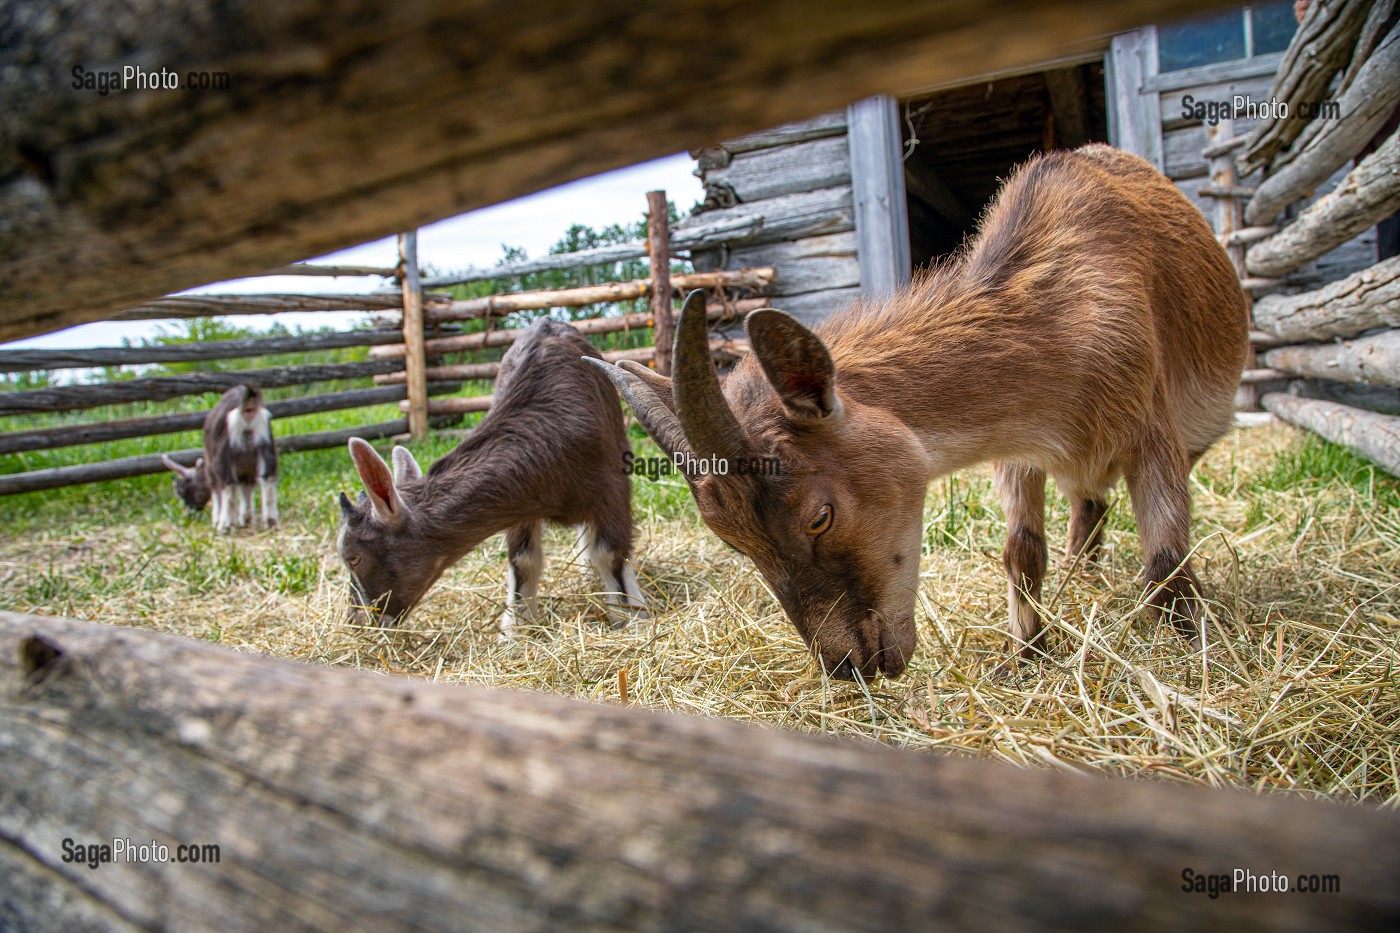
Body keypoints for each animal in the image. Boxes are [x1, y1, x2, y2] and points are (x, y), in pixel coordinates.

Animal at [336, 316, 646, 627]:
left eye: (353, 558)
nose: (356, 619)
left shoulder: (611, 488)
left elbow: (609, 554)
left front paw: (631, 615)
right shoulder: (523, 503)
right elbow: (523, 561)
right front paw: (516, 627)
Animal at [590, 143, 1248, 675]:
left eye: (819, 516)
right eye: (734, 544)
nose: (847, 664)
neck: (1070, 314)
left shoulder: (1151, 434)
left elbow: (1165, 562)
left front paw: (1190, 654)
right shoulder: (1019, 449)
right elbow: (1021, 554)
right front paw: (1025, 655)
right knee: (1087, 508)